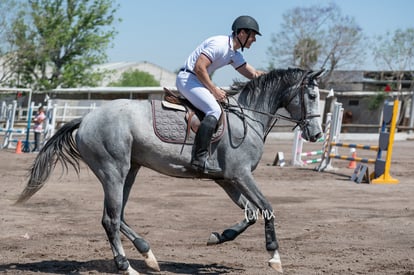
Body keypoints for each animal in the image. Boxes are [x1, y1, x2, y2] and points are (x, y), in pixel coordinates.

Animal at [17, 68, 326, 274]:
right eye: (312, 95)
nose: (316, 134)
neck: (248, 118)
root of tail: (85, 119)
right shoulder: (240, 175)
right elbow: (267, 208)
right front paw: (274, 257)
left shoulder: (227, 179)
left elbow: (251, 213)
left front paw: (219, 236)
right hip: (113, 171)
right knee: (110, 219)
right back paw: (126, 266)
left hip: (130, 170)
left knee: (119, 215)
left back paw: (148, 254)